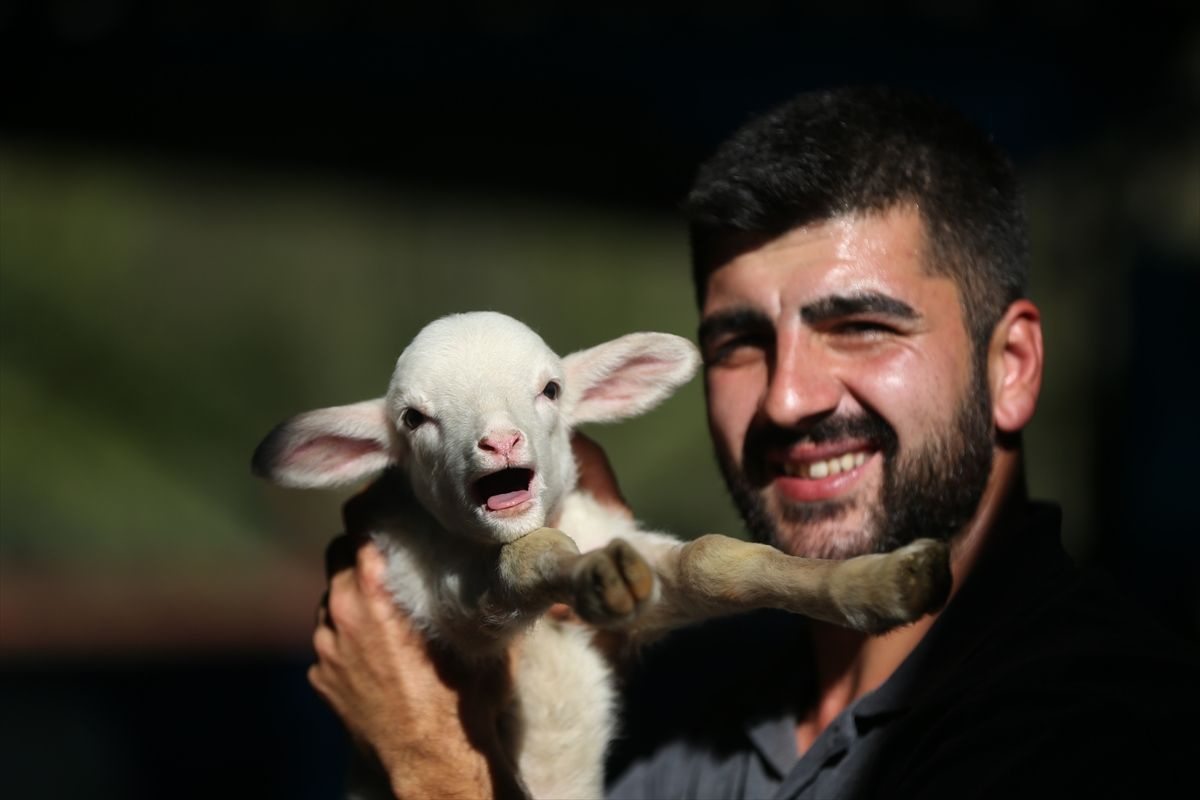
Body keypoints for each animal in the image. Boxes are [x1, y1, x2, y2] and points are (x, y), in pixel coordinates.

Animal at [250, 311, 945, 800]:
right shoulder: (441, 598)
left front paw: (881, 582)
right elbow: (521, 563)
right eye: (414, 419)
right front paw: (595, 571)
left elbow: (710, 561)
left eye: (552, 389)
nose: (499, 442)